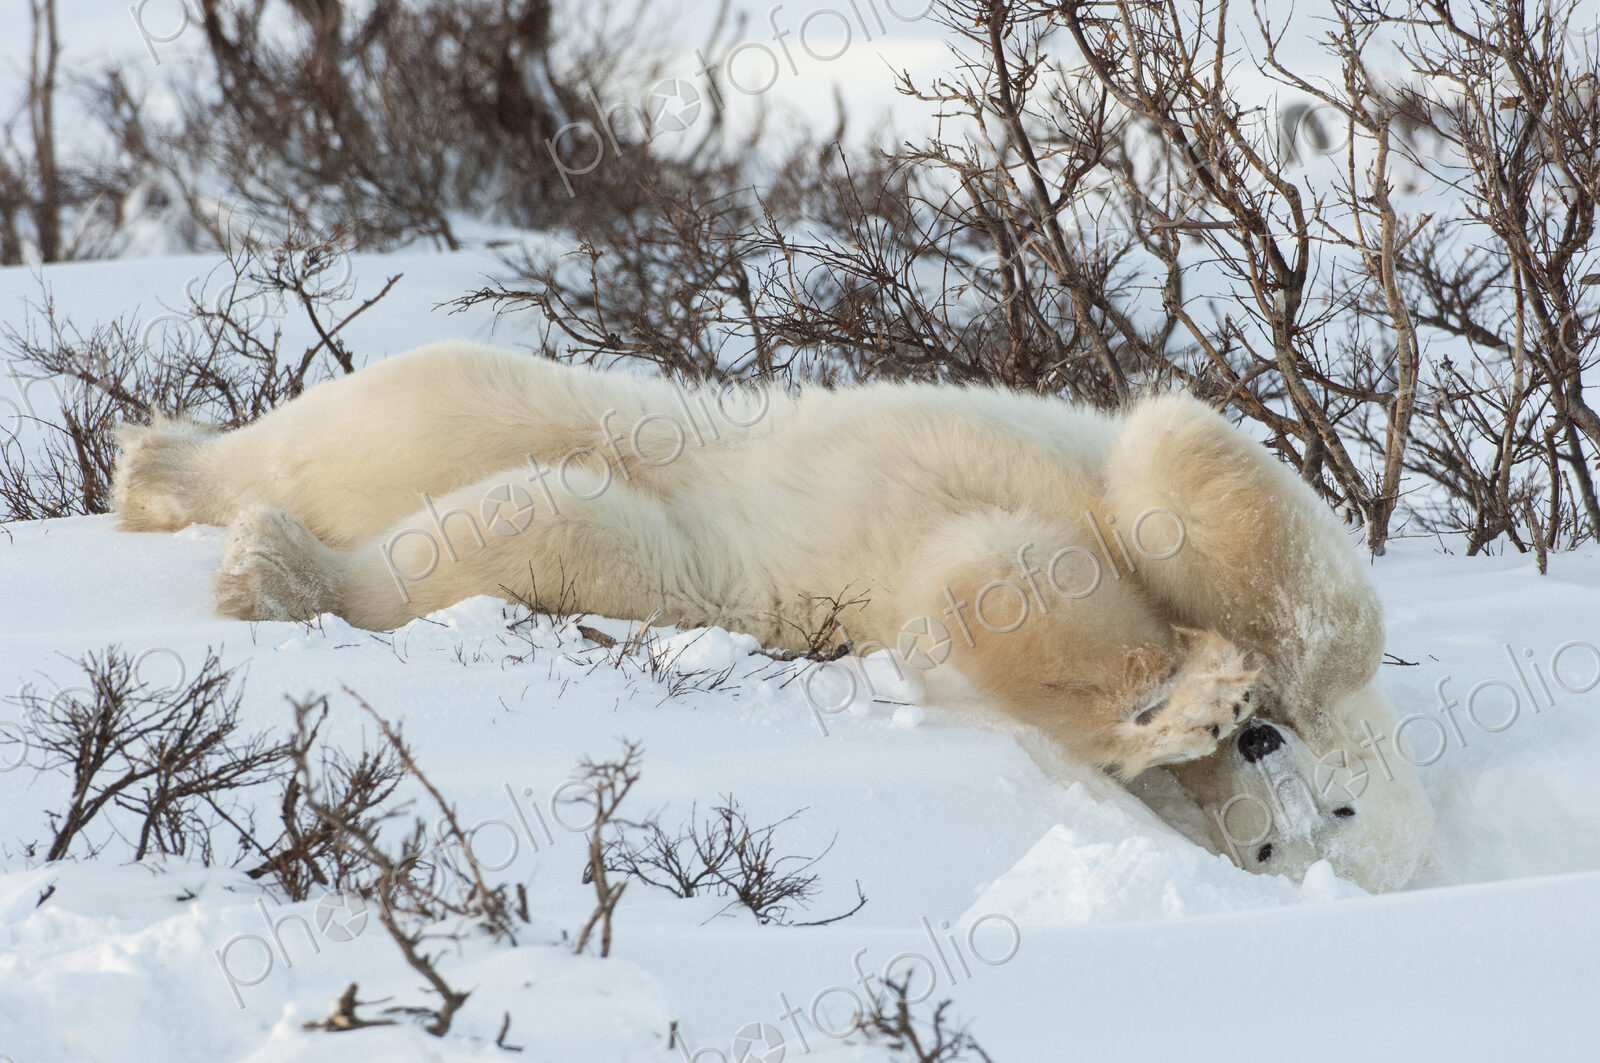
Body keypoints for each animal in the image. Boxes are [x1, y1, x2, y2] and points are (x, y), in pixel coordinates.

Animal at [110, 340, 1434, 891]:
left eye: (1270, 856)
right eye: (1332, 807)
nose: (1253, 737)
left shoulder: (930, 604)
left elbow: (981, 587)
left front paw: (1174, 701)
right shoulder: (1126, 483)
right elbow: (1205, 483)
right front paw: (1221, 676)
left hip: (669, 550)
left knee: (531, 528)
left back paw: (269, 567)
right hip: (621, 415)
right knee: (412, 411)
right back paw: (173, 471)